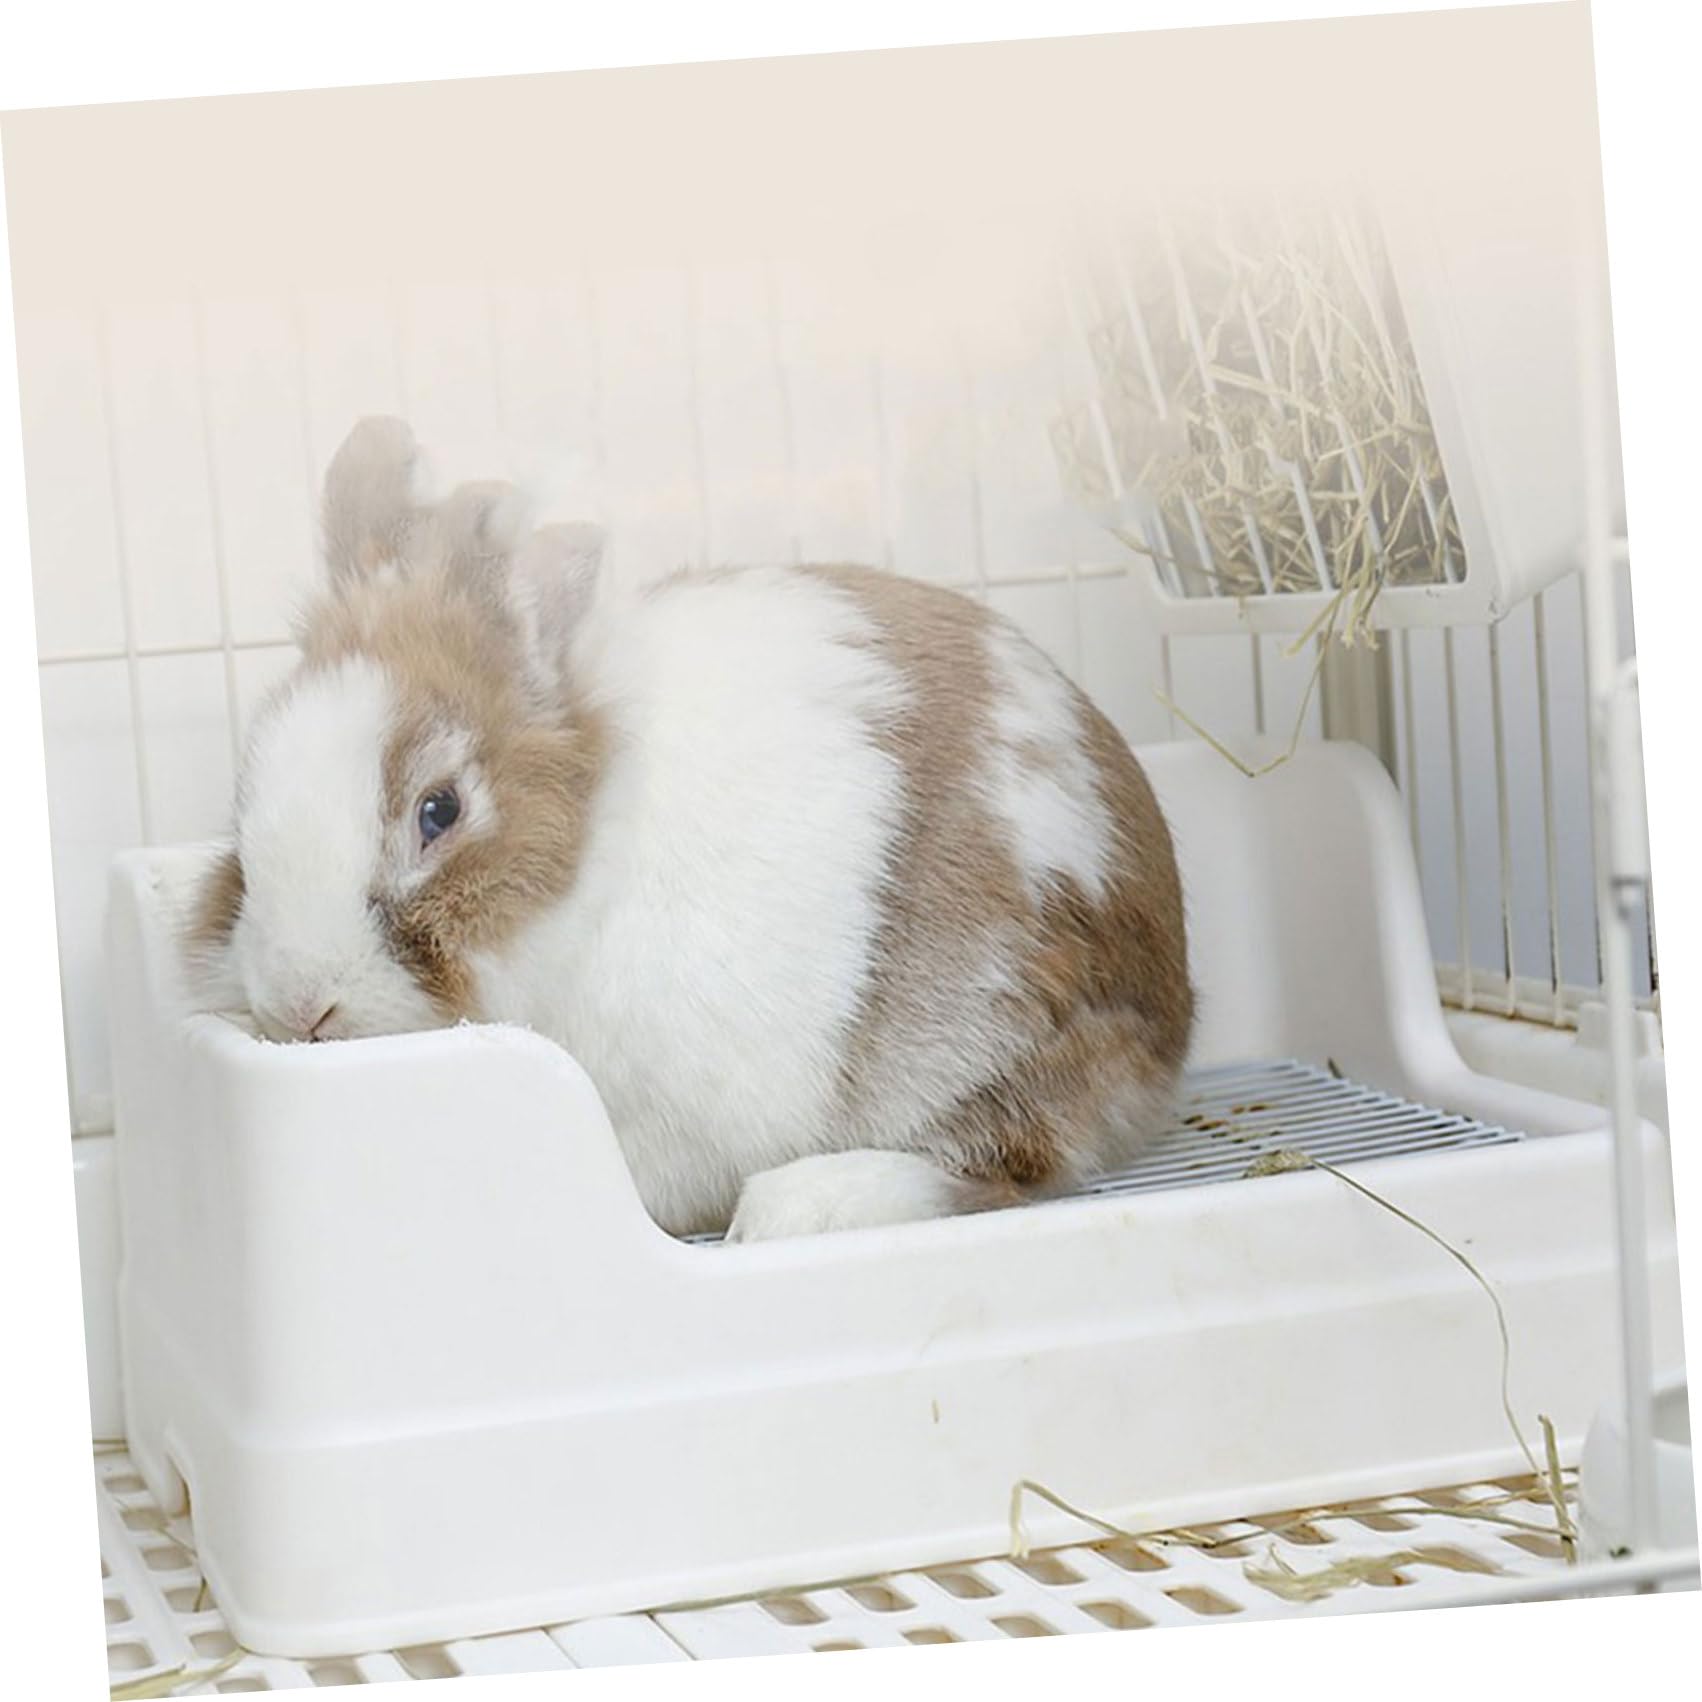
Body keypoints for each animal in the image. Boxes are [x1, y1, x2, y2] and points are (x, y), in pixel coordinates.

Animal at [185, 416, 1194, 1242]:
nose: (300, 1005)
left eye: (440, 811)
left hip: (993, 1026)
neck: (590, 871)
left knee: (1016, 1160)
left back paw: (798, 1207)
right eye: (245, 797)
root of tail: (1171, 1005)